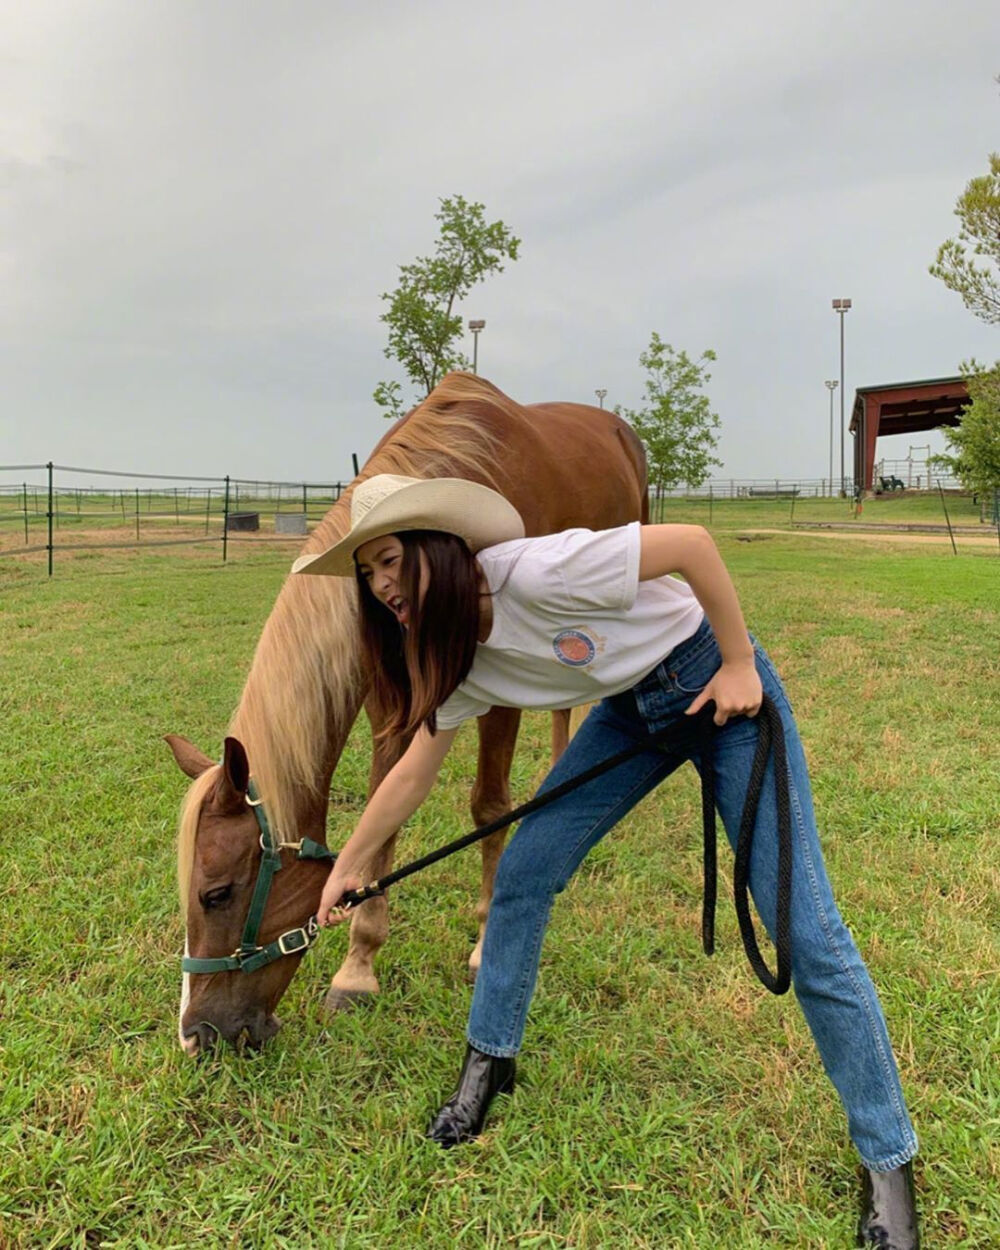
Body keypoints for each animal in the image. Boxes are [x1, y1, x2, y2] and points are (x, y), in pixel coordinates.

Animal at [170, 372, 650, 1055]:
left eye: (216, 894)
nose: (198, 1036)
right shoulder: (392, 705)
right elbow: (383, 811)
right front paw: (357, 968)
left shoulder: (500, 692)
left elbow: (489, 806)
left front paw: (483, 942)